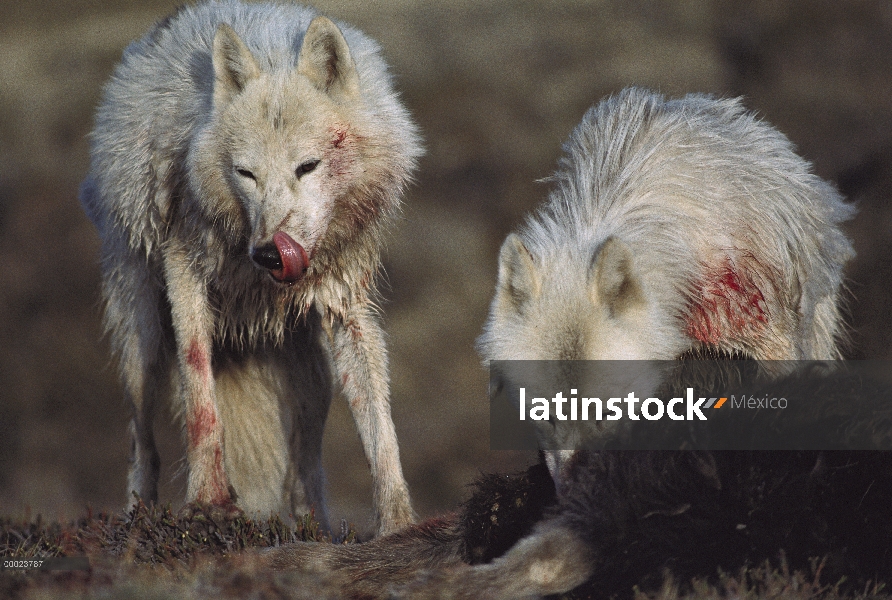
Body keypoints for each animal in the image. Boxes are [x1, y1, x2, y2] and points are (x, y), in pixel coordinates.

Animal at [79, 0, 422, 536]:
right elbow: (201, 404)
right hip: (143, 341)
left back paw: (314, 528)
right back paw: (139, 517)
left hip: (313, 378)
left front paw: (398, 524)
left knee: (306, 466)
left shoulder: (347, 306)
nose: (268, 253)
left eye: (308, 167)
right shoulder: (185, 274)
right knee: (143, 442)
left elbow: (380, 430)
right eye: (246, 174)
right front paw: (209, 503)